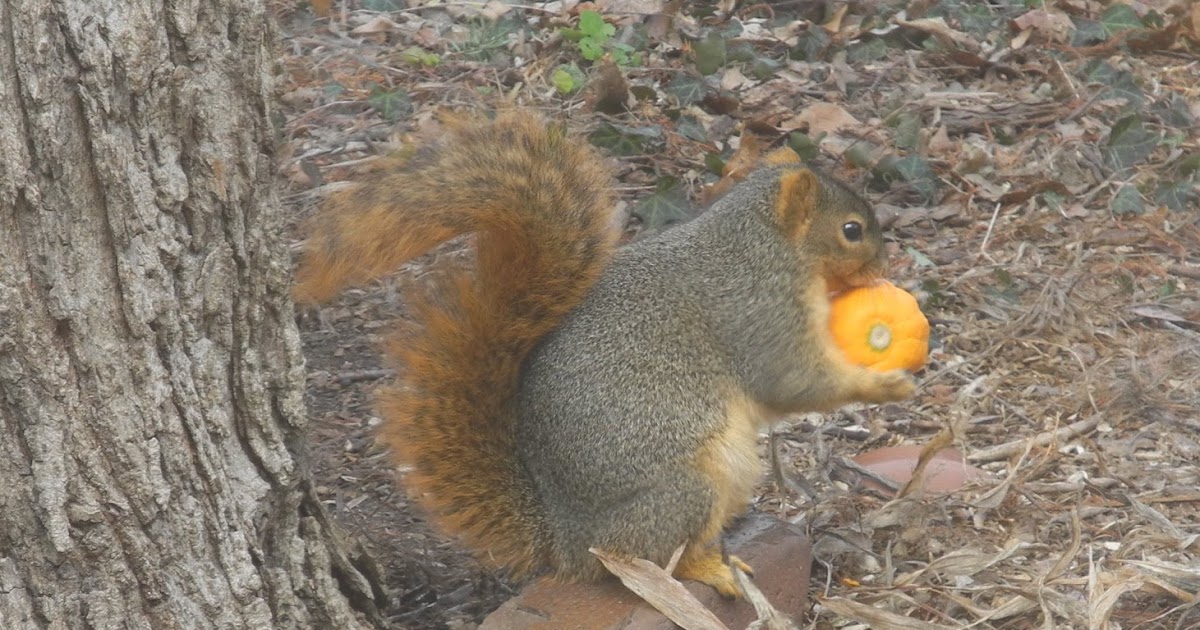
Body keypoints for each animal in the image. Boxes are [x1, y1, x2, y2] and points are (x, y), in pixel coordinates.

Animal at [293, 111, 915, 598]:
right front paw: (888, 383)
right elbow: (792, 382)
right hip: (682, 491)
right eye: (852, 230)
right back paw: (709, 569)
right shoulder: (758, 310)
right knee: (652, 560)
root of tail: (566, 542)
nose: (883, 267)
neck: (762, 242)